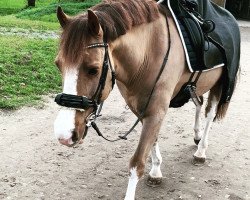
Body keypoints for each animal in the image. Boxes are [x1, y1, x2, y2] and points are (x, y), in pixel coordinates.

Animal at [53, 0, 237, 198]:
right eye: (59, 65)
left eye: (93, 69)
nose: (64, 134)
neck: (148, 54)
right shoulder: (143, 110)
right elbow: (153, 141)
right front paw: (156, 171)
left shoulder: (155, 111)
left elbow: (137, 163)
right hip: (196, 86)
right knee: (198, 104)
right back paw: (197, 134)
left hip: (219, 85)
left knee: (209, 113)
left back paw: (201, 150)